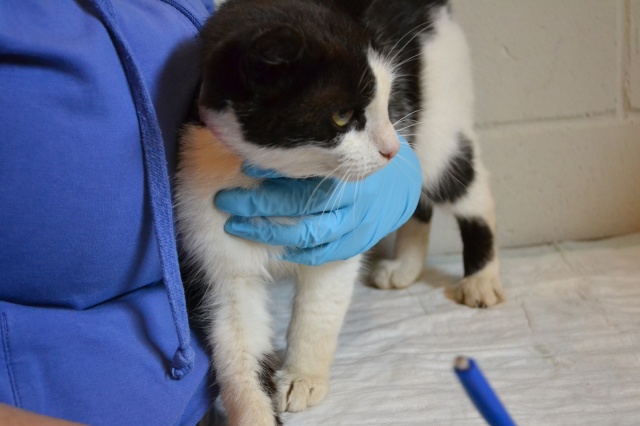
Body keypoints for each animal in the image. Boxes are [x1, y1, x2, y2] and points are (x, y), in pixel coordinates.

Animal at [174, 1, 503, 425]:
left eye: (386, 101)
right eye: (342, 116)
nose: (391, 149)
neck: (282, 178)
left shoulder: (340, 233)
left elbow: (319, 310)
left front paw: (303, 377)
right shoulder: (214, 238)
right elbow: (238, 345)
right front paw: (255, 411)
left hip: (439, 125)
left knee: (465, 186)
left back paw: (481, 278)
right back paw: (406, 267)